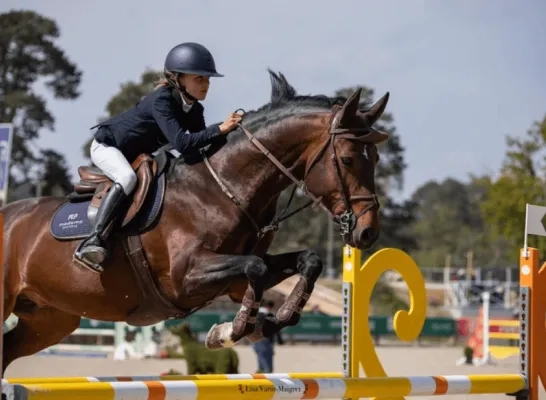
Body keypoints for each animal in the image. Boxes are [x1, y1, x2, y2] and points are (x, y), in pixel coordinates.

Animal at [2, 70, 388, 374]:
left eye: (377, 157)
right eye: (348, 159)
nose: (368, 232)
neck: (221, 189)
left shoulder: (232, 282)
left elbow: (306, 261)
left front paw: (273, 320)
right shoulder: (184, 278)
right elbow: (256, 268)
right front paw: (231, 332)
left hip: (51, 319)